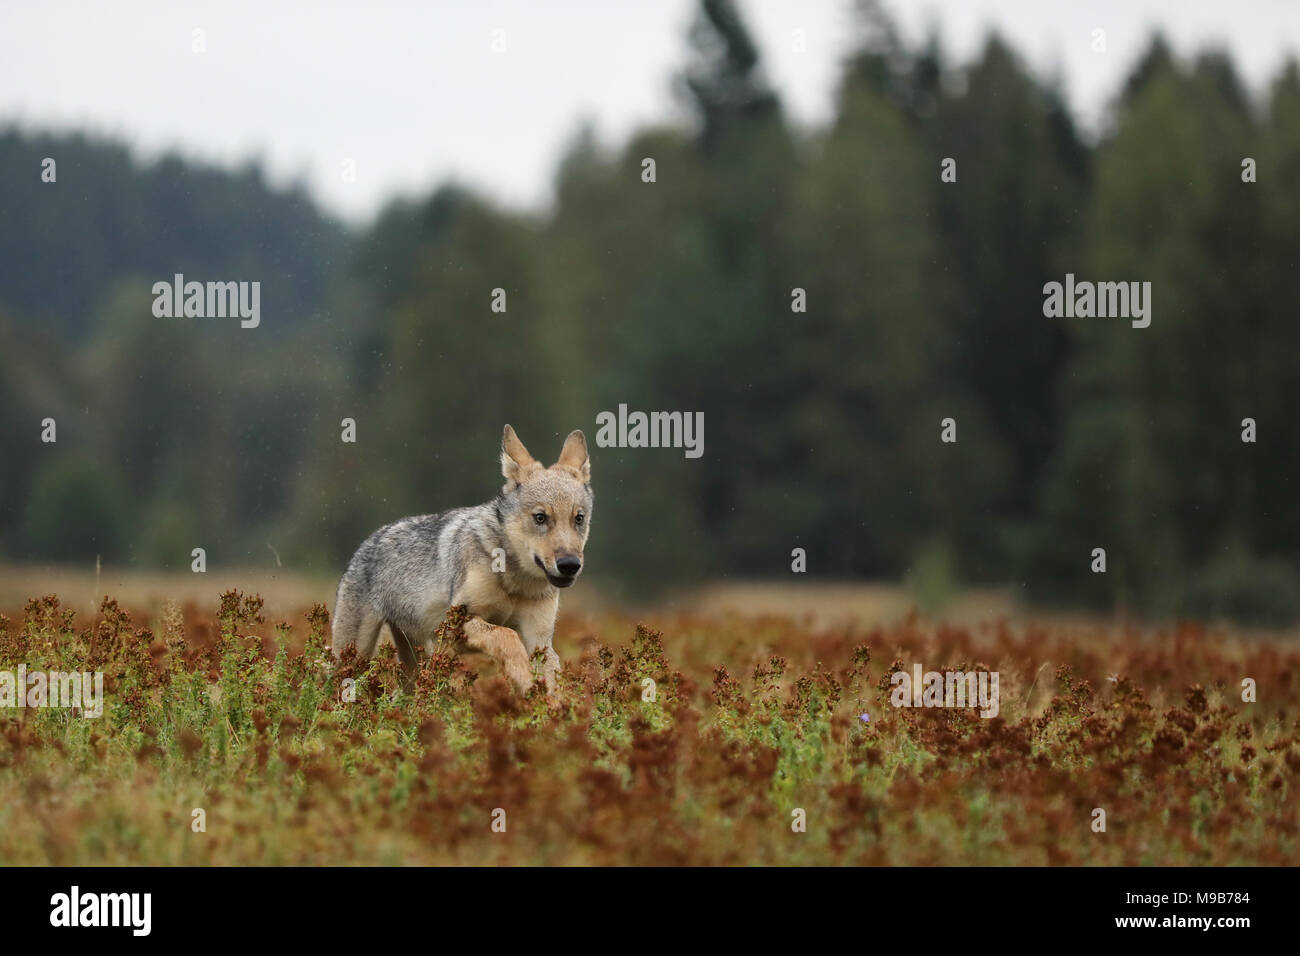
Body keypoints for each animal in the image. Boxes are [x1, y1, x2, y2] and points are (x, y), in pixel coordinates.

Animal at [330, 426, 595, 697]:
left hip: (415, 662)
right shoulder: (454, 626)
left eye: (579, 518)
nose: (570, 565)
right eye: (540, 517)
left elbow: (552, 683)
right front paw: (524, 678)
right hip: (354, 655)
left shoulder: (539, 640)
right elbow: (506, 635)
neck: (514, 581)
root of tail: (370, 538)